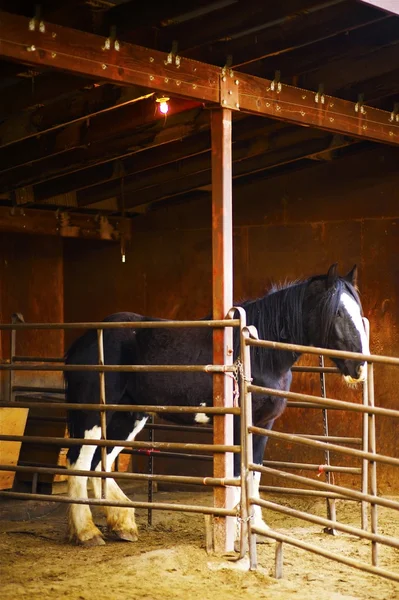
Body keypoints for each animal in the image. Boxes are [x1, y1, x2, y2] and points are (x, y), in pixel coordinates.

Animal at [64, 264, 370, 548]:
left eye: (358, 311)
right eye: (337, 312)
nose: (360, 368)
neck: (257, 354)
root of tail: (83, 342)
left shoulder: (262, 425)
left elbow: (254, 475)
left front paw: (259, 530)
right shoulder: (237, 426)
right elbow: (236, 475)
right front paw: (235, 533)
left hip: (126, 417)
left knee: (98, 463)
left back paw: (121, 525)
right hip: (93, 415)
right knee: (79, 462)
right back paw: (87, 532)